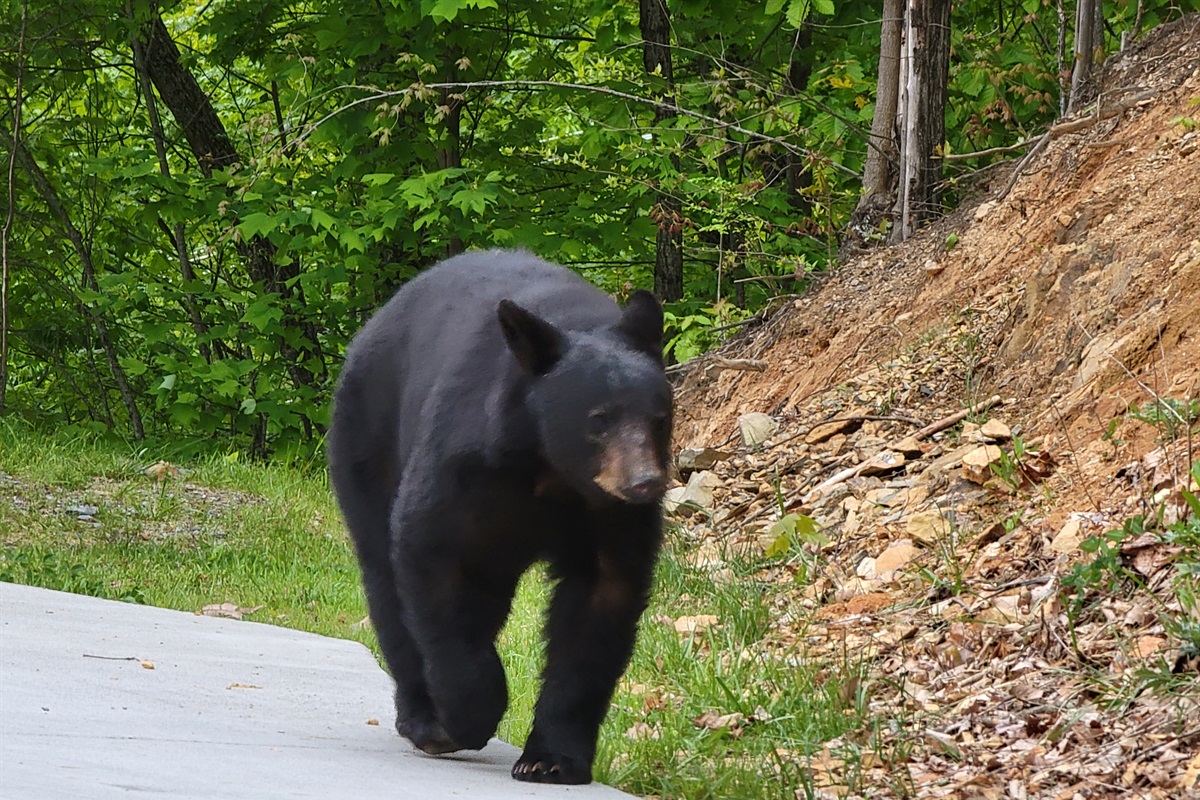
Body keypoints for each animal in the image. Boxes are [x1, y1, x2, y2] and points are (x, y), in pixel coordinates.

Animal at [327, 249, 672, 785]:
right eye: (599, 420)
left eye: (660, 418)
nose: (643, 484)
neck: (552, 472)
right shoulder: (467, 467)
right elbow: (433, 557)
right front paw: (469, 715)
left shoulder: (608, 520)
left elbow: (598, 609)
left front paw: (551, 758)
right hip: (367, 440)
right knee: (386, 581)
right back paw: (423, 719)